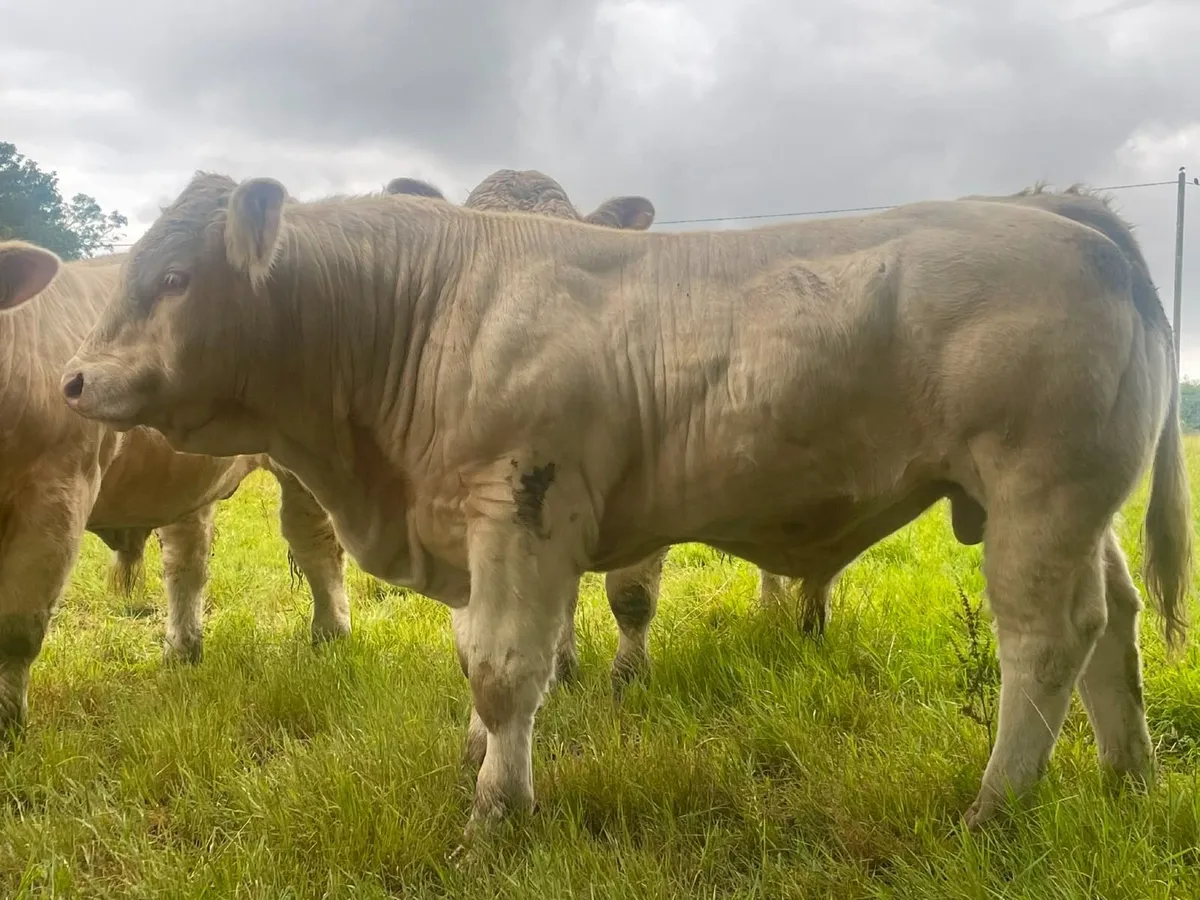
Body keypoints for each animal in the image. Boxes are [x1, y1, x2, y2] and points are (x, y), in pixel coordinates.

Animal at [0, 240, 351, 733]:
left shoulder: (56, 495)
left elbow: (16, 627)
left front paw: (7, 724)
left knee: (314, 542)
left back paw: (331, 633)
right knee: (187, 561)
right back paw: (183, 650)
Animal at [58, 172, 1190, 836]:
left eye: (174, 274)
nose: (72, 381)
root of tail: (1057, 211)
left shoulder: (520, 514)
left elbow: (506, 674)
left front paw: (497, 813)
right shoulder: (476, 536)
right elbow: (477, 667)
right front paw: (476, 762)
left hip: (1041, 492)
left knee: (1047, 639)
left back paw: (996, 806)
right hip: (1074, 506)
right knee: (1114, 625)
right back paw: (1126, 778)